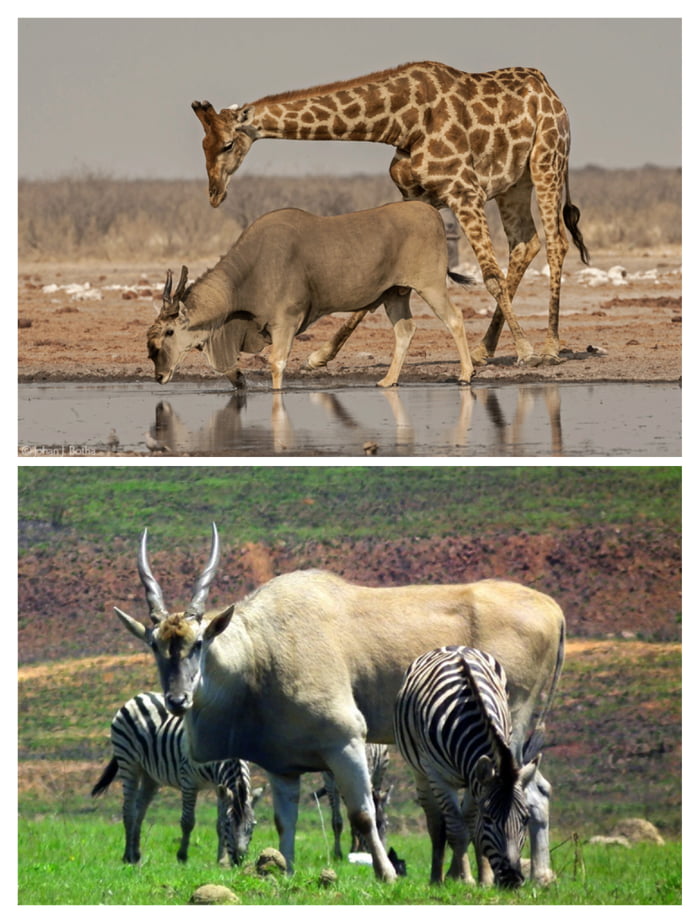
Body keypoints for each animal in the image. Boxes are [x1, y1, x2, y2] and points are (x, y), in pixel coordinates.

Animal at [91, 691, 260, 865]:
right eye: (229, 825)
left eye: (252, 826)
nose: (238, 861)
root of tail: (139, 696)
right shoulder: (188, 781)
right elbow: (188, 821)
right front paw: (182, 856)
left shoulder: (219, 785)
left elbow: (218, 823)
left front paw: (220, 860)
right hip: (128, 762)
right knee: (129, 811)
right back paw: (127, 857)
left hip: (150, 775)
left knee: (140, 811)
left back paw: (136, 854)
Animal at [146, 201, 475, 391]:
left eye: (169, 332)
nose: (159, 375)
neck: (253, 268)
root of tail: (432, 212)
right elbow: (232, 368)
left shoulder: (286, 322)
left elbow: (277, 363)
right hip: (394, 294)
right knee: (405, 329)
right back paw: (387, 380)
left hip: (430, 285)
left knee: (455, 319)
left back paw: (466, 374)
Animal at [192, 61, 589, 367]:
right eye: (204, 145)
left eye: (228, 144)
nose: (214, 194)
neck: (400, 122)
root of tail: (551, 94)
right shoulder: (415, 194)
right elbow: (380, 279)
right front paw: (322, 355)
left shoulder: (465, 190)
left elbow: (490, 276)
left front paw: (526, 351)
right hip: (514, 185)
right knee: (526, 244)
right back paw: (483, 349)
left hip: (547, 161)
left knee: (555, 243)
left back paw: (549, 347)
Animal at [393, 646, 543, 887]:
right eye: (489, 819)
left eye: (525, 819)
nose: (512, 879)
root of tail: (453, 647)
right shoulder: (438, 777)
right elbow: (457, 831)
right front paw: (466, 879)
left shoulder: (476, 780)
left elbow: (471, 826)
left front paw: (482, 879)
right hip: (421, 773)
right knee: (438, 825)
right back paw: (437, 878)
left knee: (462, 820)